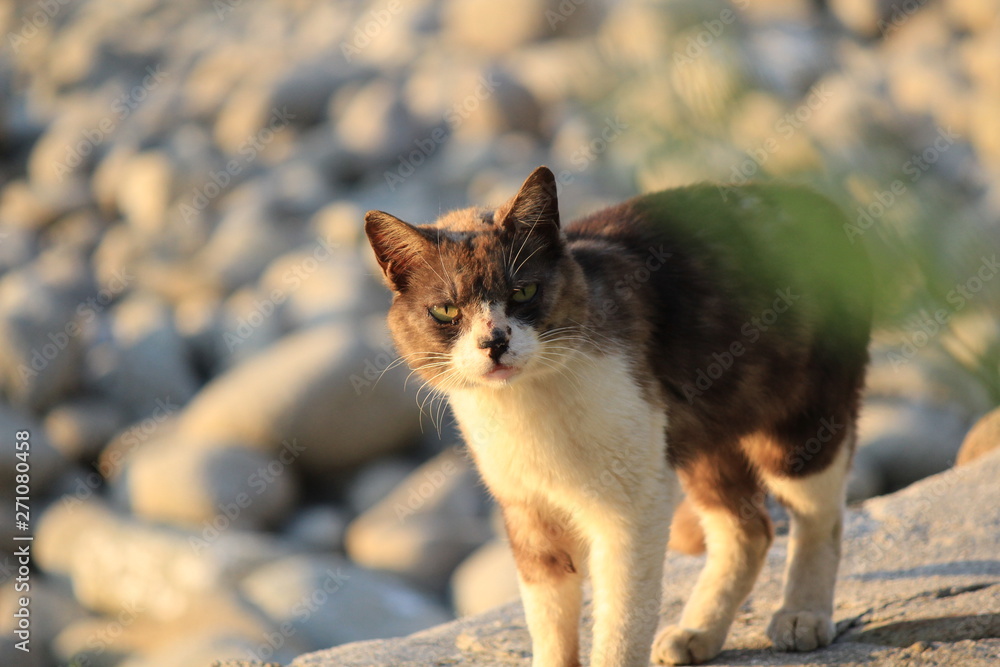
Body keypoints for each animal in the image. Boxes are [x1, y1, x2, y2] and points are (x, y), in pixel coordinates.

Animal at [364, 164, 872, 664]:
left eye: (524, 291)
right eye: (446, 310)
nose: (494, 342)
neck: (527, 407)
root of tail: (820, 201)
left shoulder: (632, 506)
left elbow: (621, 626)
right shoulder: (528, 512)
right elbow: (549, 625)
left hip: (799, 422)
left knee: (819, 515)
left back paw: (801, 615)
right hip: (702, 440)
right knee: (748, 530)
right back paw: (697, 632)